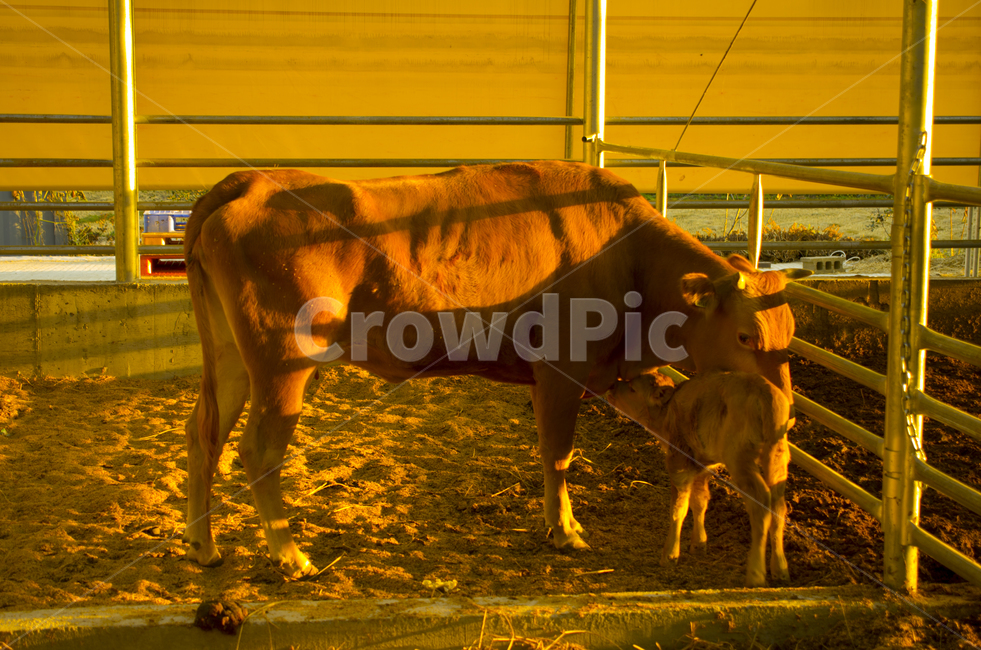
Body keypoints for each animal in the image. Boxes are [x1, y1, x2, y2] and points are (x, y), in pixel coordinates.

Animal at [606, 370, 792, 587]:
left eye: (633, 388)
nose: (612, 387)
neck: (667, 414)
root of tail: (764, 391)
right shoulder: (701, 465)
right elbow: (700, 501)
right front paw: (699, 544)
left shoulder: (679, 464)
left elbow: (678, 507)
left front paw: (670, 554)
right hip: (777, 457)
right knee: (778, 506)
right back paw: (780, 568)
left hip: (740, 460)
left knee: (761, 503)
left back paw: (755, 573)